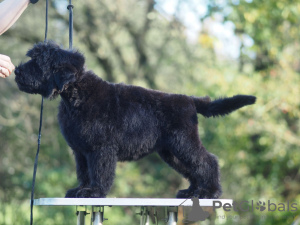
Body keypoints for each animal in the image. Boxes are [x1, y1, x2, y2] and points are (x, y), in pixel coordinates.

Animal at [14, 42, 255, 199]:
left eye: (37, 62)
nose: (16, 71)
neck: (77, 95)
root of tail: (190, 101)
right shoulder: (81, 151)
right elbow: (84, 172)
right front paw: (80, 190)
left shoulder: (100, 149)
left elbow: (99, 172)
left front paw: (94, 192)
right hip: (171, 152)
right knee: (193, 169)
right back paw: (192, 192)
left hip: (184, 143)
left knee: (207, 161)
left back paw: (211, 192)